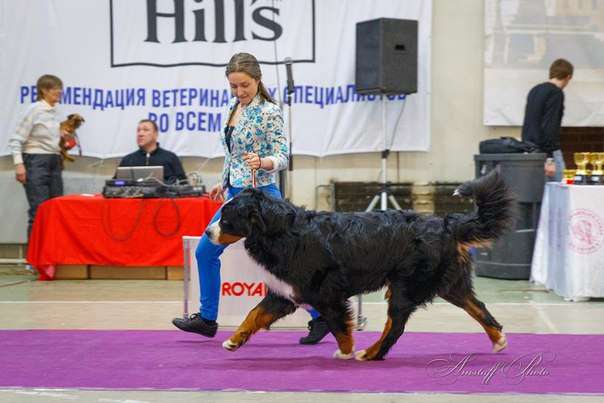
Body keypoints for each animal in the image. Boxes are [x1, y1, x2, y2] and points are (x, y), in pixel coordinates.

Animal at [208, 172, 516, 362]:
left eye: (226, 217)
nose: (208, 232)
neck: (281, 232)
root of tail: (445, 223)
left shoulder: (326, 294)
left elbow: (339, 326)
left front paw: (345, 352)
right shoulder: (286, 292)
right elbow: (254, 314)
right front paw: (234, 340)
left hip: (406, 286)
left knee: (395, 326)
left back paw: (370, 353)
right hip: (448, 283)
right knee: (478, 307)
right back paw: (499, 339)